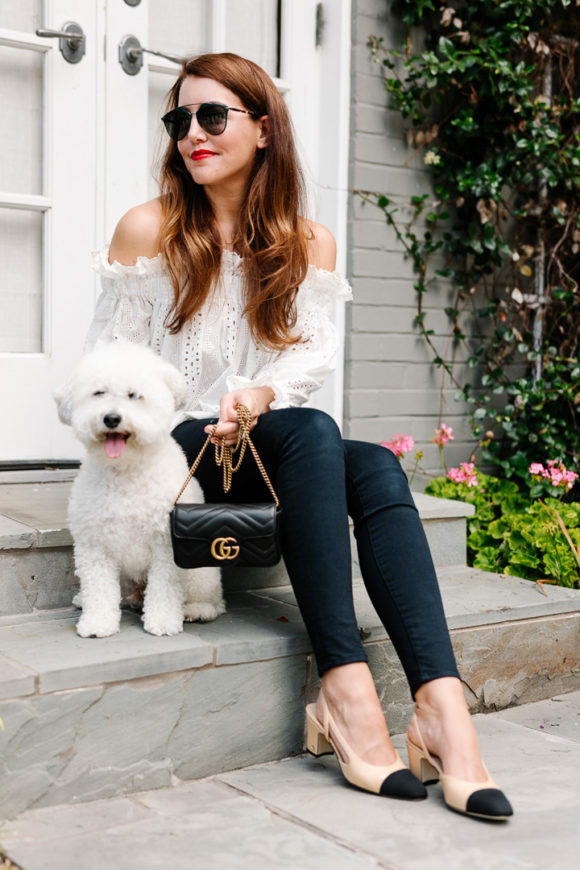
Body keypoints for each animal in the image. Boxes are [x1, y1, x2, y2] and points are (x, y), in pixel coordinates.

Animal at [54, 342, 225, 640]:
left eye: (134, 395)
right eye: (98, 393)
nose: (112, 418)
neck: (126, 469)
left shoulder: (166, 545)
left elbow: (166, 587)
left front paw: (164, 621)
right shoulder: (95, 544)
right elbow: (99, 588)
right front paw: (98, 622)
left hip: (201, 571)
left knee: (213, 599)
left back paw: (197, 609)